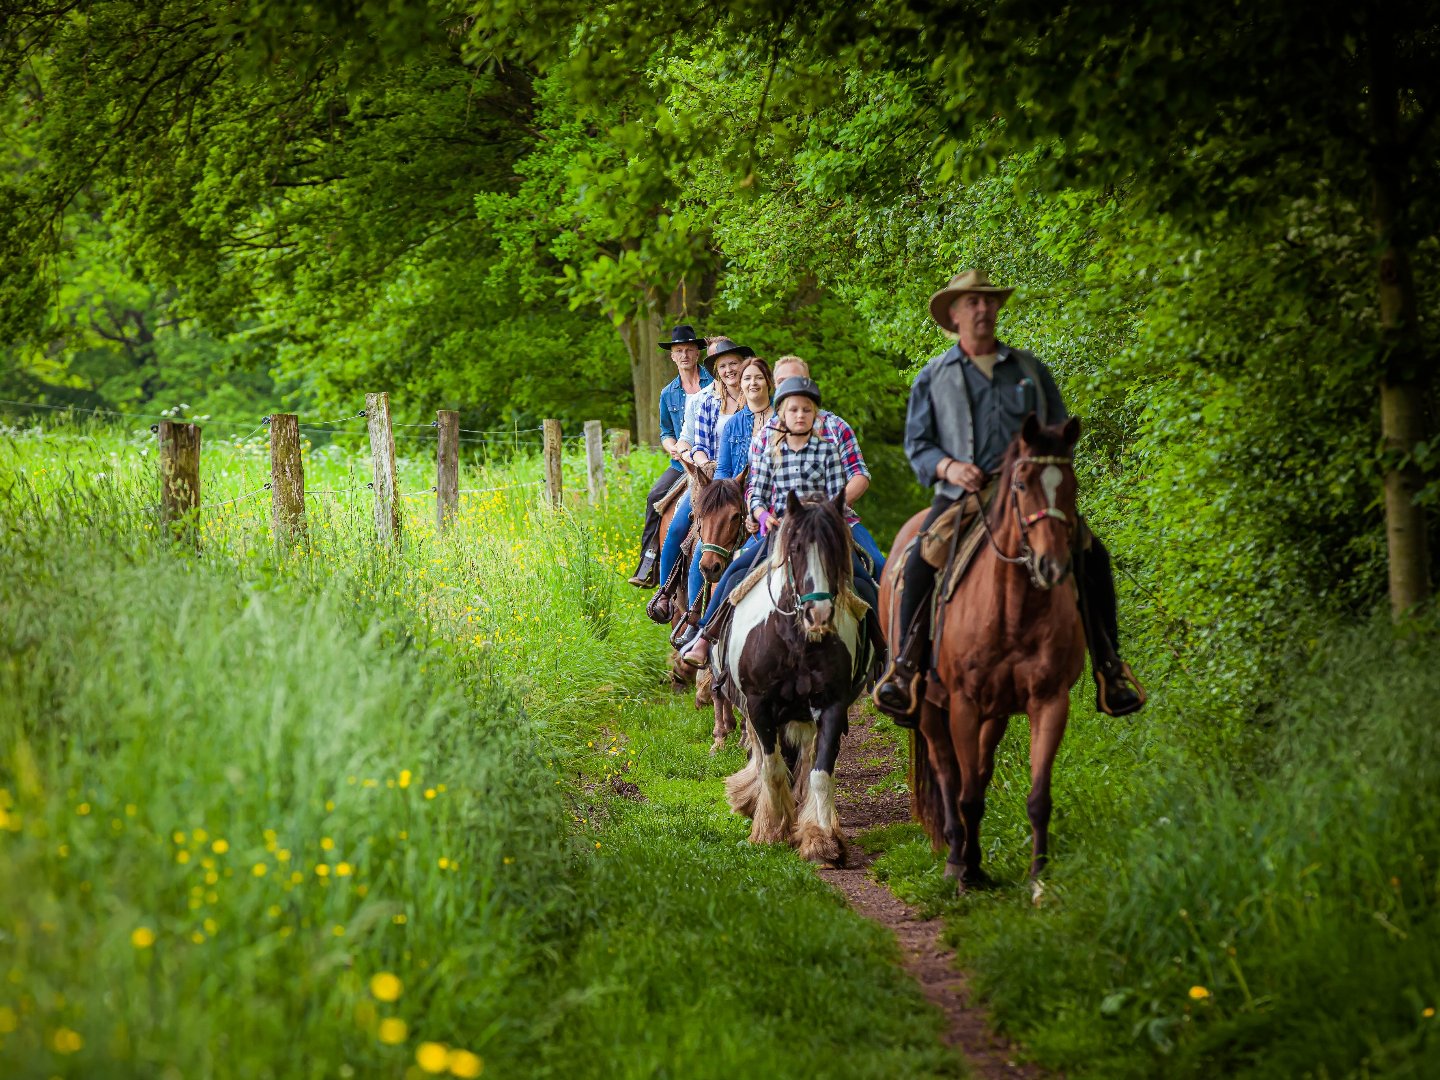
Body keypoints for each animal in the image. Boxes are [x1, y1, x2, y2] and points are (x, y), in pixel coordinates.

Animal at [705, 495, 864, 869]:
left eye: (837, 549)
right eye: (795, 548)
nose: (819, 614)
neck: (796, 641)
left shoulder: (832, 706)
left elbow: (820, 773)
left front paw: (823, 841)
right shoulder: (760, 706)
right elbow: (773, 768)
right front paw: (771, 830)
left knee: (803, 761)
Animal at [875, 417, 1088, 892]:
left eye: (1071, 484)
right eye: (1022, 485)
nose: (1052, 566)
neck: (1012, 611)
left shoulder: (1048, 701)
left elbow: (1035, 794)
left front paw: (1039, 877)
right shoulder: (964, 703)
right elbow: (965, 791)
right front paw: (966, 871)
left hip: (994, 712)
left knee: (978, 770)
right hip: (929, 706)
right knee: (947, 771)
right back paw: (956, 854)